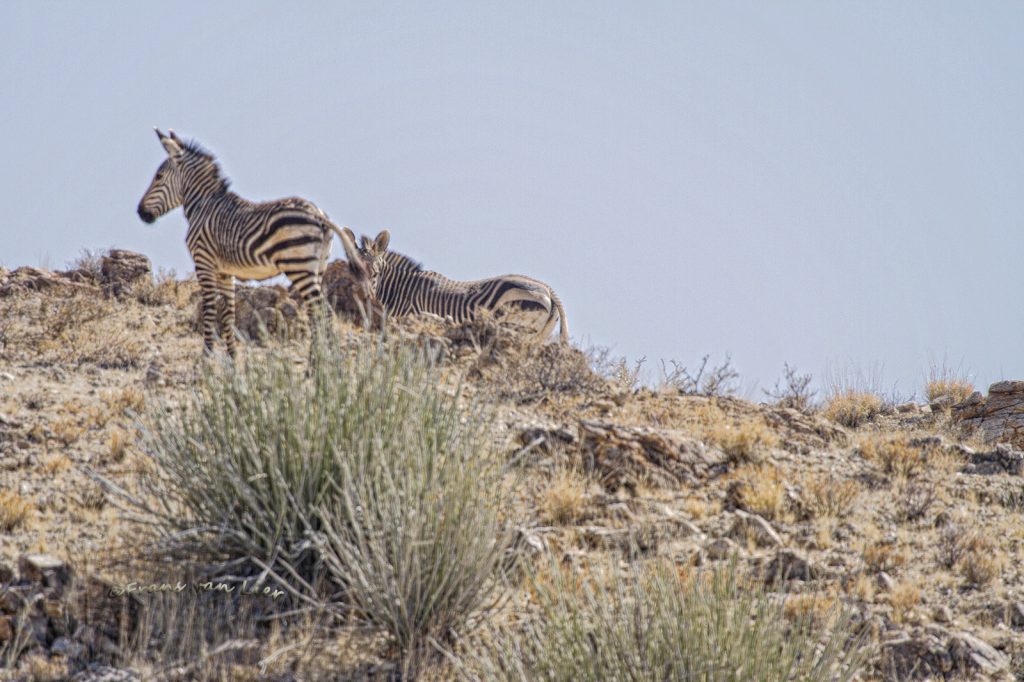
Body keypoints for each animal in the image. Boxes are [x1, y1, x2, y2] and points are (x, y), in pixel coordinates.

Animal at [137, 129, 376, 356]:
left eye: (158, 177)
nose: (140, 213)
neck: (203, 205)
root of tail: (318, 214)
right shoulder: (225, 271)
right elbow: (227, 314)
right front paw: (232, 360)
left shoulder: (203, 262)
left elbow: (210, 311)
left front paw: (206, 359)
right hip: (317, 267)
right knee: (316, 312)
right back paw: (317, 363)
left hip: (299, 266)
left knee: (322, 312)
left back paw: (320, 364)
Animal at [346, 229, 569, 343]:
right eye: (352, 270)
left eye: (375, 274)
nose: (360, 296)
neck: (398, 289)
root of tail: (548, 288)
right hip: (538, 335)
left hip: (516, 325)